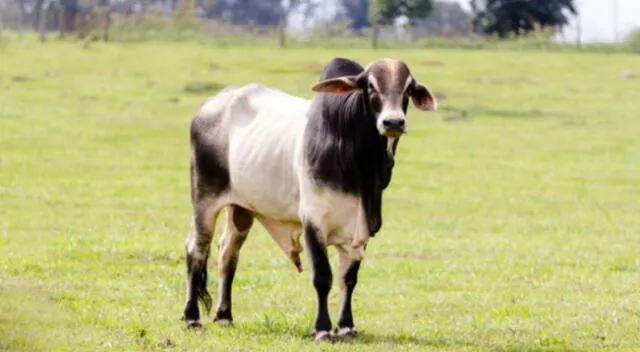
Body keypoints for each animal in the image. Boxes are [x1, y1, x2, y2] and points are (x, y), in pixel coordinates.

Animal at [182, 57, 438, 340]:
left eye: (408, 88)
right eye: (370, 85)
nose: (393, 122)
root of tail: (212, 103)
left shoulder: (359, 228)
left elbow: (349, 279)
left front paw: (346, 326)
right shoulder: (313, 220)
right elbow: (323, 278)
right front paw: (323, 329)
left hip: (241, 209)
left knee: (228, 253)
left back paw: (224, 315)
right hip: (204, 201)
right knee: (196, 249)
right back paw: (191, 317)